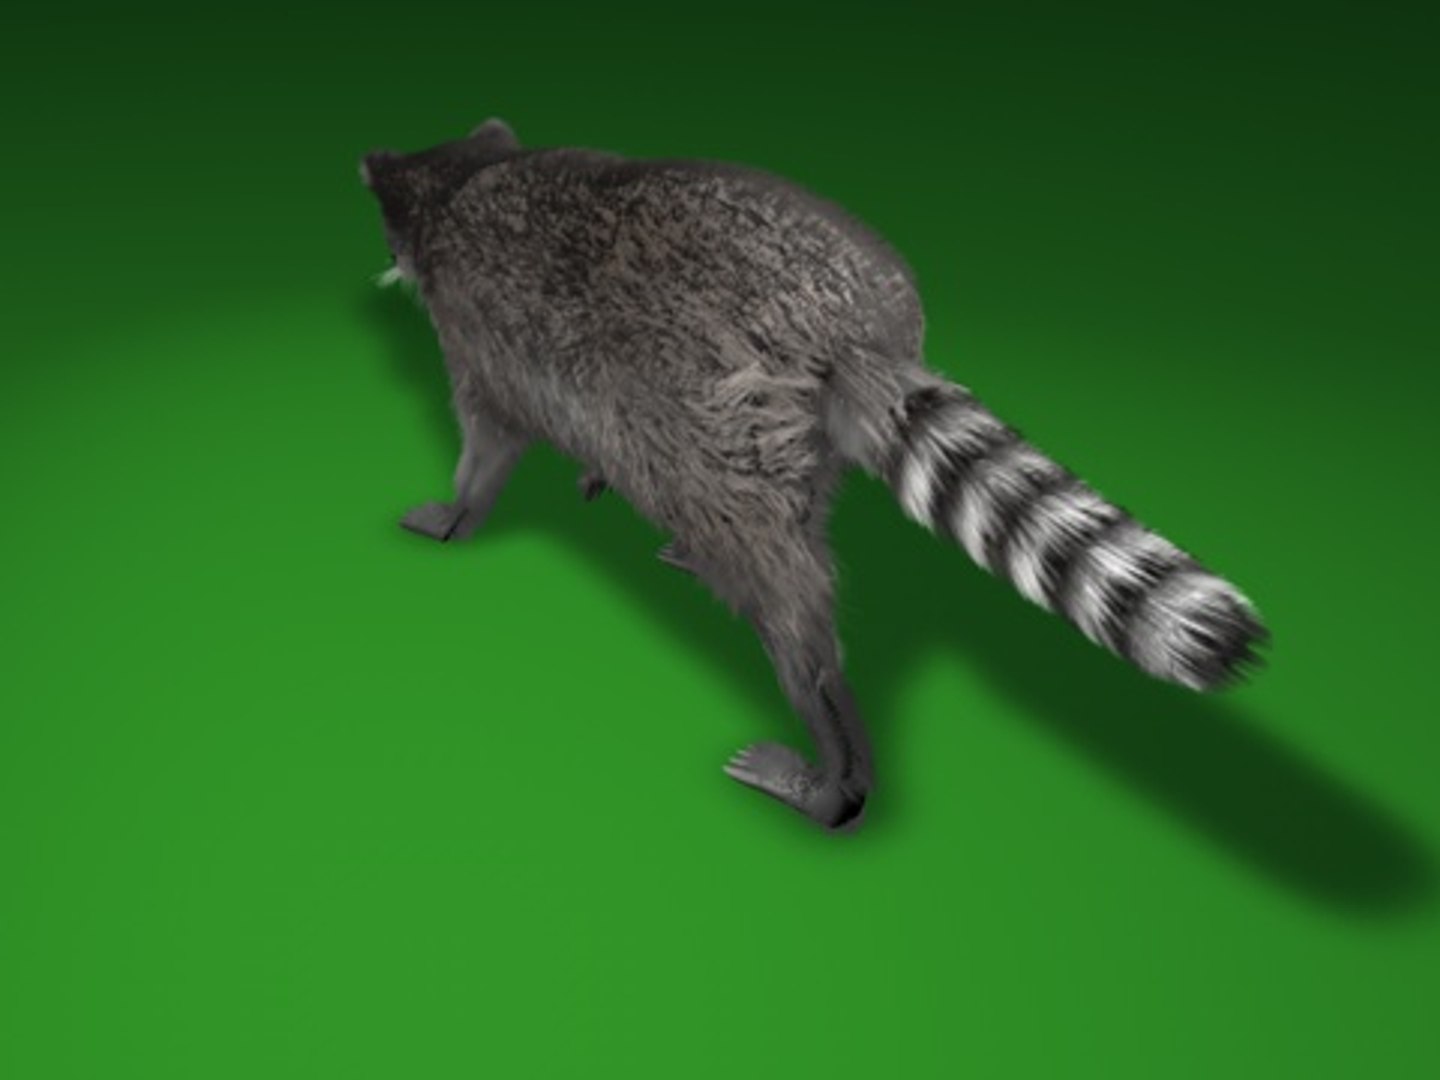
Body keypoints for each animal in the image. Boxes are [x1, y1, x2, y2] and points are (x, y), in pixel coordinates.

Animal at [360, 118, 1267, 831]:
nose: (388, 260)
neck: (462, 180)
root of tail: (846, 328)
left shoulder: (477, 330)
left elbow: (489, 439)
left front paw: (458, 508)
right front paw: (590, 472)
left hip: (725, 414)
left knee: (784, 594)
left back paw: (829, 745)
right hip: (781, 435)